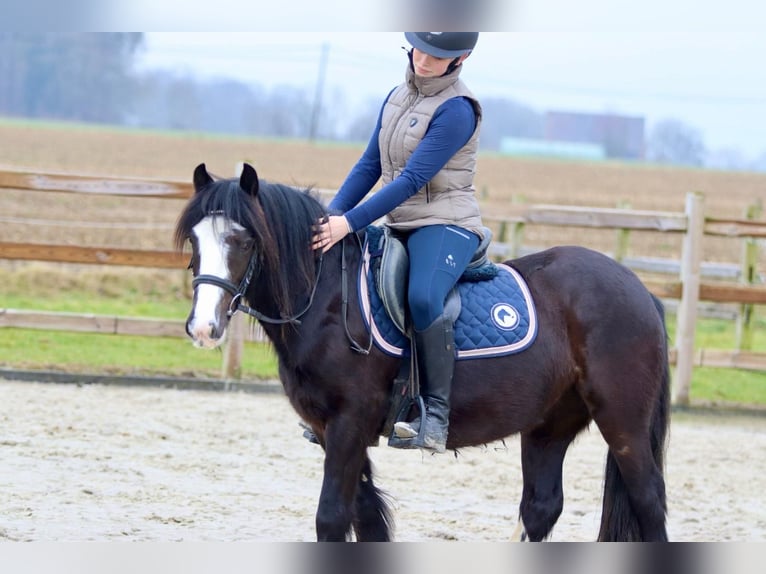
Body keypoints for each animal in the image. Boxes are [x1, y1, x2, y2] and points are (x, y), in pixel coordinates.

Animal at [177, 163, 668, 544]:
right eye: (196, 241)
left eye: (244, 241)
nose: (203, 327)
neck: (328, 297)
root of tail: (640, 289)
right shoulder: (329, 429)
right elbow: (366, 519)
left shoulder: (349, 423)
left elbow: (332, 518)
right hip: (550, 425)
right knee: (541, 506)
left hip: (622, 421)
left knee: (648, 500)